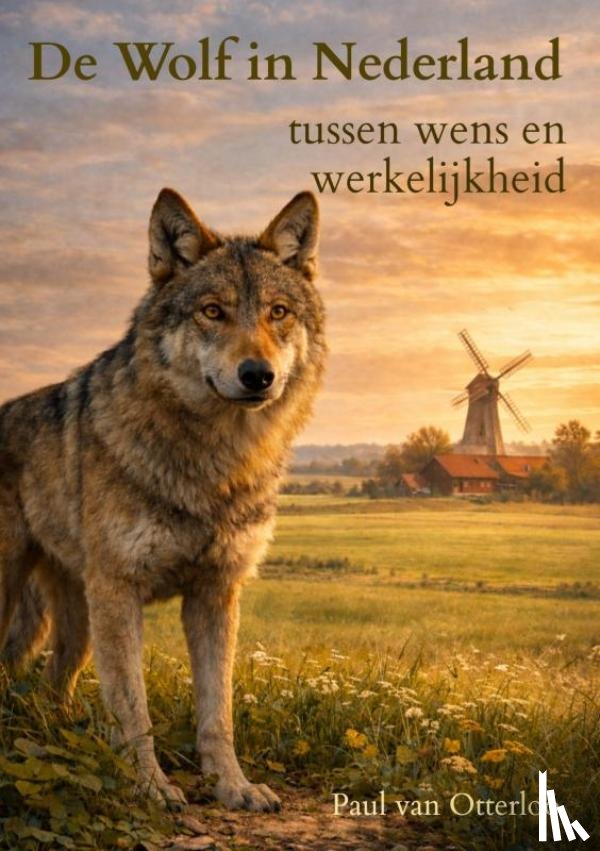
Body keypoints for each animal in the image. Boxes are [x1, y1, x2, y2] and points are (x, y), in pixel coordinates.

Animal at [0, 188, 326, 811]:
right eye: (213, 312)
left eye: (277, 313)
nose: (258, 375)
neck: (214, 465)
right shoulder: (120, 594)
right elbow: (134, 709)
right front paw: (151, 786)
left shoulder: (215, 595)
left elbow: (217, 712)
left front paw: (234, 787)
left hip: (78, 625)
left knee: (53, 685)